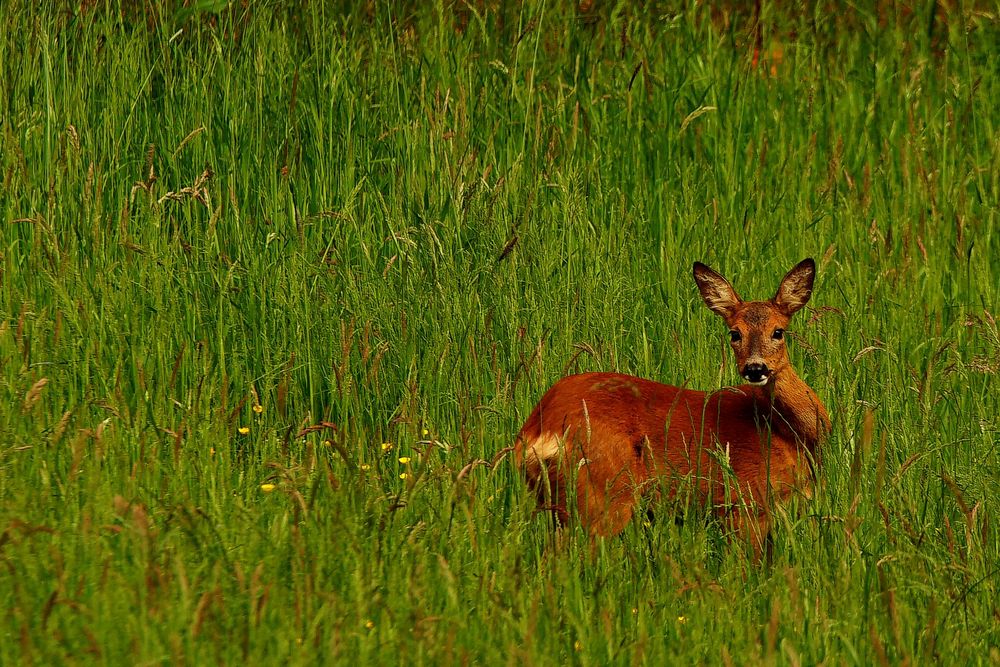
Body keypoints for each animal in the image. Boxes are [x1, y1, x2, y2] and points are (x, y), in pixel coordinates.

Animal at [512, 258, 832, 556]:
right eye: (734, 333)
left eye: (778, 331)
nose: (755, 368)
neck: (790, 434)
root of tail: (539, 429)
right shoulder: (746, 504)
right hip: (603, 491)